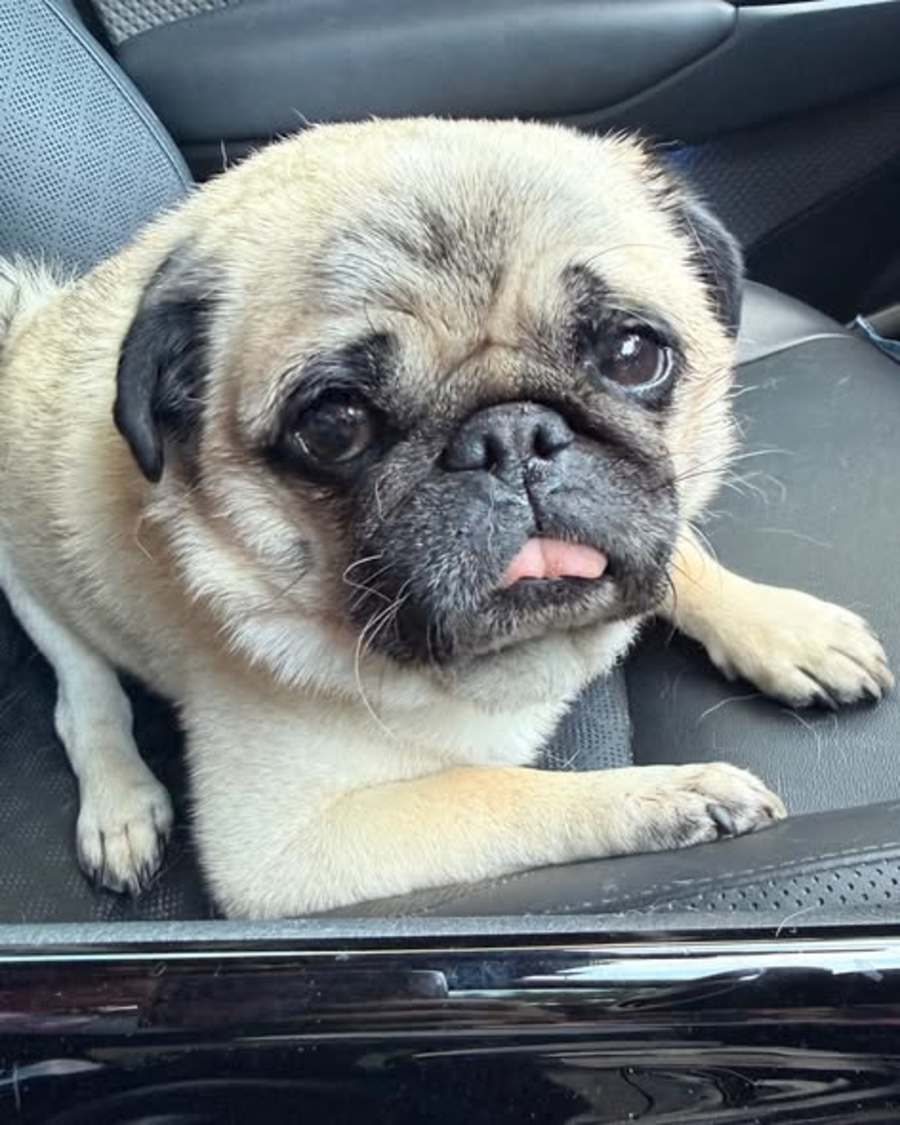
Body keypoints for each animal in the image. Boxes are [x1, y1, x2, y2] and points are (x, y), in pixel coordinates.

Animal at [0, 119, 891, 918]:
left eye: (634, 355)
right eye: (334, 425)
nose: (510, 436)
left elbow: (682, 555)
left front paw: (783, 627)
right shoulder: (289, 849)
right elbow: (501, 790)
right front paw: (673, 794)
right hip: (31, 578)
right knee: (83, 688)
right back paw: (121, 801)